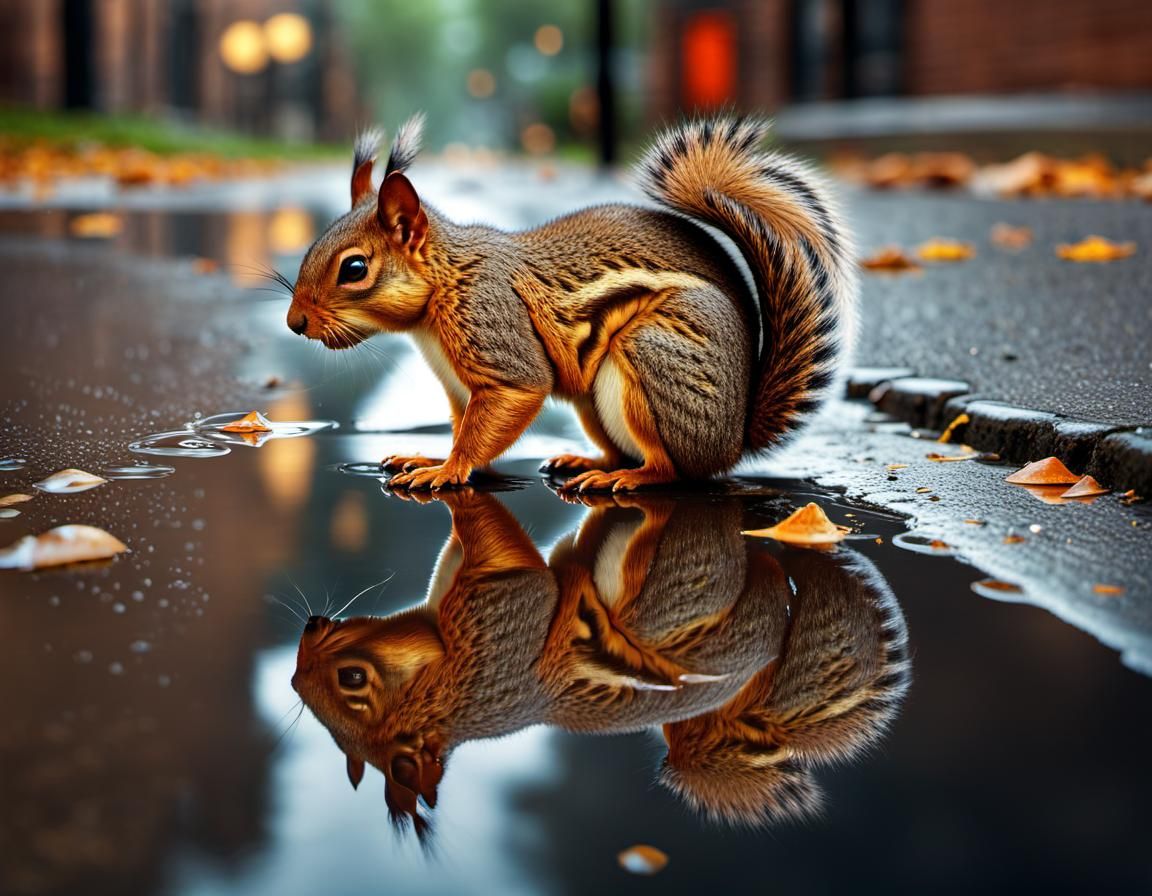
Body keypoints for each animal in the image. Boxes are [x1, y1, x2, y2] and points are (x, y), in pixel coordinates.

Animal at [287, 114, 856, 491]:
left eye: (354, 269)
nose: (295, 323)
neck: (445, 285)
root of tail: (732, 441)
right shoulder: (457, 387)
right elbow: (464, 427)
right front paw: (427, 455)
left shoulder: (497, 335)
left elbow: (499, 413)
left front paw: (445, 470)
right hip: (593, 404)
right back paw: (589, 464)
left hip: (649, 357)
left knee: (670, 467)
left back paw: (629, 478)